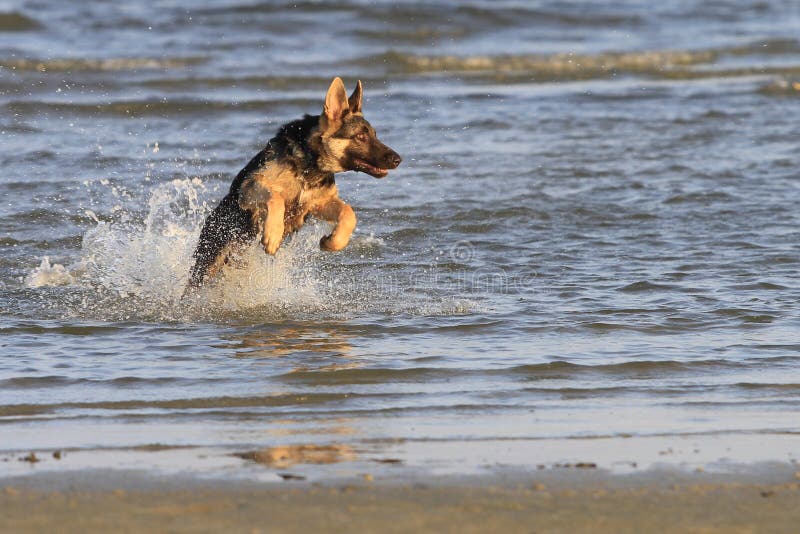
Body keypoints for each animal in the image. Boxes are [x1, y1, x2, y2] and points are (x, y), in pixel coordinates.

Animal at [187, 76, 400, 288]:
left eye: (374, 135)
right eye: (361, 136)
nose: (398, 160)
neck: (308, 165)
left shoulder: (317, 204)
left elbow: (349, 213)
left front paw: (333, 241)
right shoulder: (250, 187)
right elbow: (276, 198)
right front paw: (273, 234)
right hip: (207, 266)